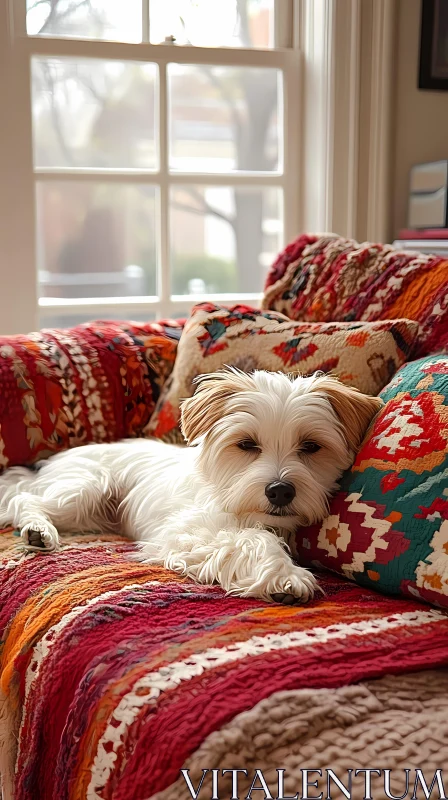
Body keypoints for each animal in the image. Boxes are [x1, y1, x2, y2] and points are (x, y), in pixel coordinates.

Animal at [0, 372, 382, 604]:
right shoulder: (186, 534)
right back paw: (38, 530)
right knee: (25, 500)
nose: (280, 491)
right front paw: (284, 574)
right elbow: (253, 538)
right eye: (246, 444)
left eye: (311, 446)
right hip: (87, 487)